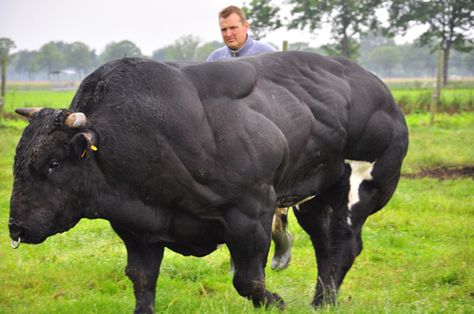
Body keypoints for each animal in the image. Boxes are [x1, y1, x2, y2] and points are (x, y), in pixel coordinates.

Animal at [8, 51, 408, 312]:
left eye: (53, 163)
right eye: (17, 160)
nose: (16, 227)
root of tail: (378, 89)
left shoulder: (252, 210)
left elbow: (248, 280)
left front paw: (277, 302)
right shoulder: (136, 227)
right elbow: (141, 279)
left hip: (360, 186)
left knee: (343, 243)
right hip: (315, 196)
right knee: (325, 244)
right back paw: (322, 301)